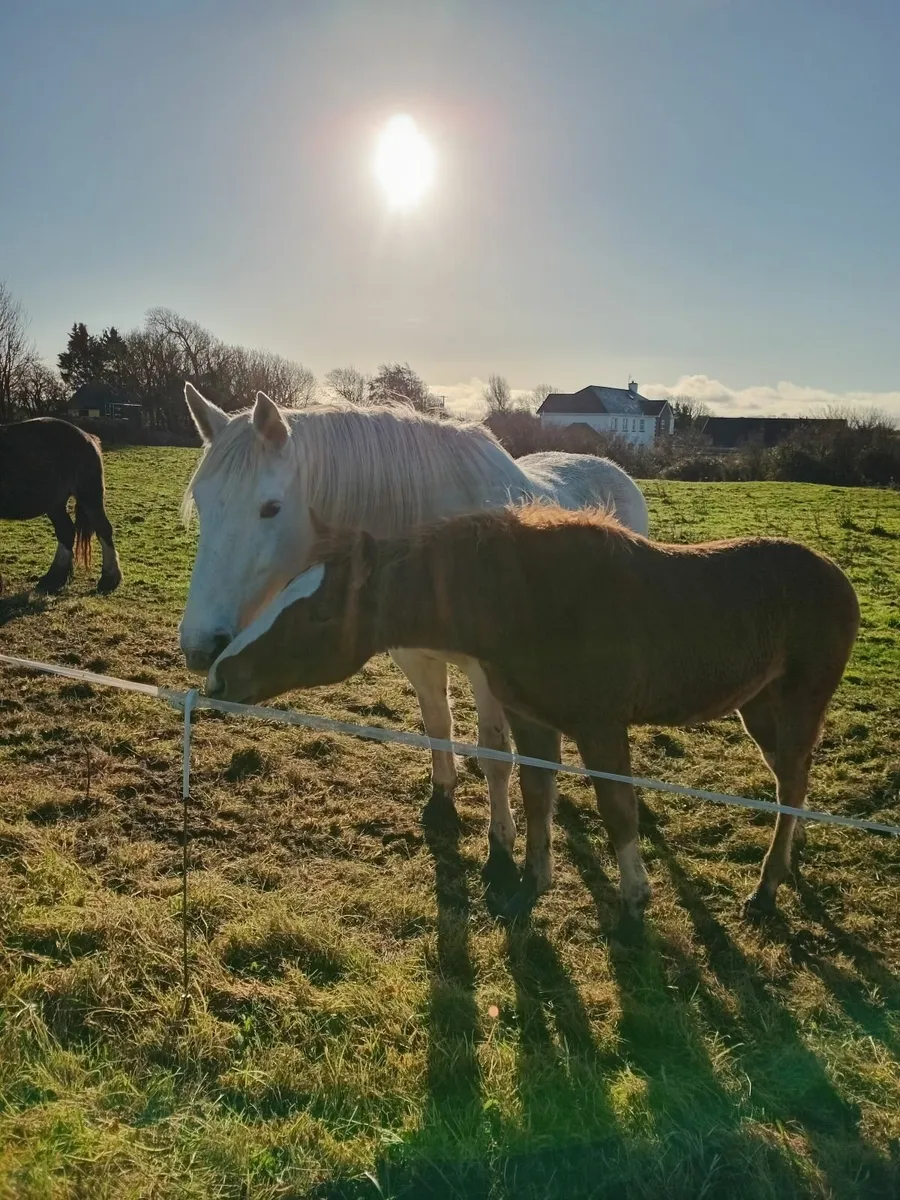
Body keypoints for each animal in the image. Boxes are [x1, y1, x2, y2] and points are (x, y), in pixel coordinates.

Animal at [0, 417, 122, 595]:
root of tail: (88, 437)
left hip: (89, 496)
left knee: (103, 529)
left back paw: (109, 578)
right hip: (55, 504)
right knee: (66, 531)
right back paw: (55, 577)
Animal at [178, 384, 648, 878]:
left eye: (270, 508)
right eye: (202, 504)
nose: (199, 645)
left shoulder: (488, 675)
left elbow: (494, 754)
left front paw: (501, 839)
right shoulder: (416, 658)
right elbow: (437, 724)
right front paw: (443, 792)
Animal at [207, 504, 860, 930]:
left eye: (320, 614)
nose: (220, 675)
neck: (530, 601)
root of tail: (836, 574)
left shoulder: (601, 725)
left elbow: (617, 810)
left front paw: (634, 898)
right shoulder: (532, 720)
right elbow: (537, 793)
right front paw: (531, 883)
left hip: (797, 704)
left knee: (792, 784)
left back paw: (767, 887)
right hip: (759, 708)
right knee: (791, 781)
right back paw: (786, 865)